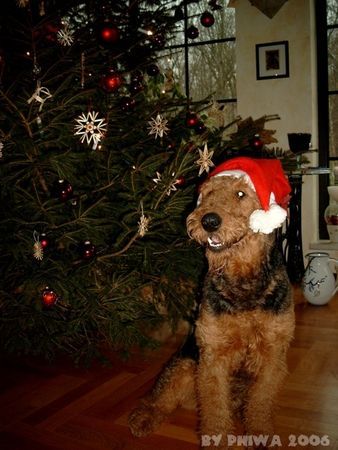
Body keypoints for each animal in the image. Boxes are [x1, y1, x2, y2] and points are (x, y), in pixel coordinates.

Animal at [129, 156, 296, 448]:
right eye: (207, 193)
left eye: (240, 194)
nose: (208, 221)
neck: (242, 281)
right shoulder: (213, 355)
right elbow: (215, 409)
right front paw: (219, 440)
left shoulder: (272, 353)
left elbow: (261, 402)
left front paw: (260, 435)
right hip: (184, 364)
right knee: (160, 398)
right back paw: (143, 419)